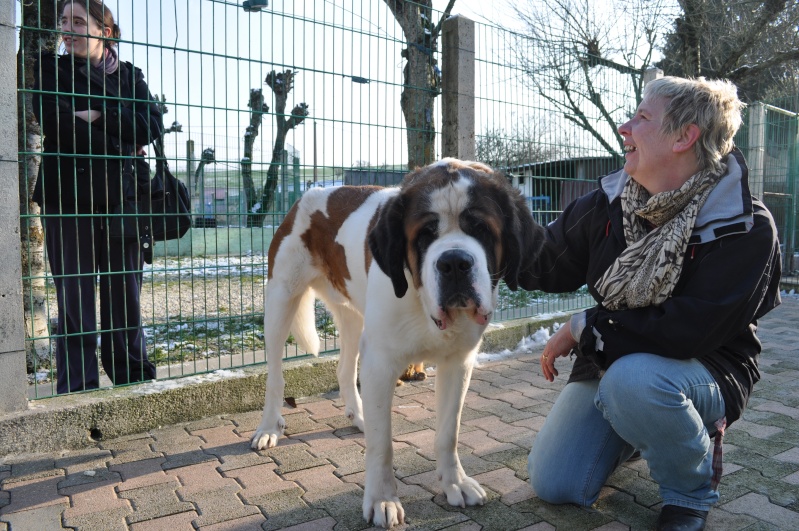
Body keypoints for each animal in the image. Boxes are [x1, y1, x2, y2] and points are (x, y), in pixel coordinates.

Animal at [253, 158, 548, 528]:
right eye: (424, 234)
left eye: (481, 229)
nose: (454, 262)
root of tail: (308, 194)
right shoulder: (381, 363)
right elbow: (382, 445)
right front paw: (382, 500)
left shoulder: (459, 362)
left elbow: (448, 431)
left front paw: (454, 483)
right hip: (281, 300)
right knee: (275, 376)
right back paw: (268, 428)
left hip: (354, 317)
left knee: (344, 368)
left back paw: (359, 414)